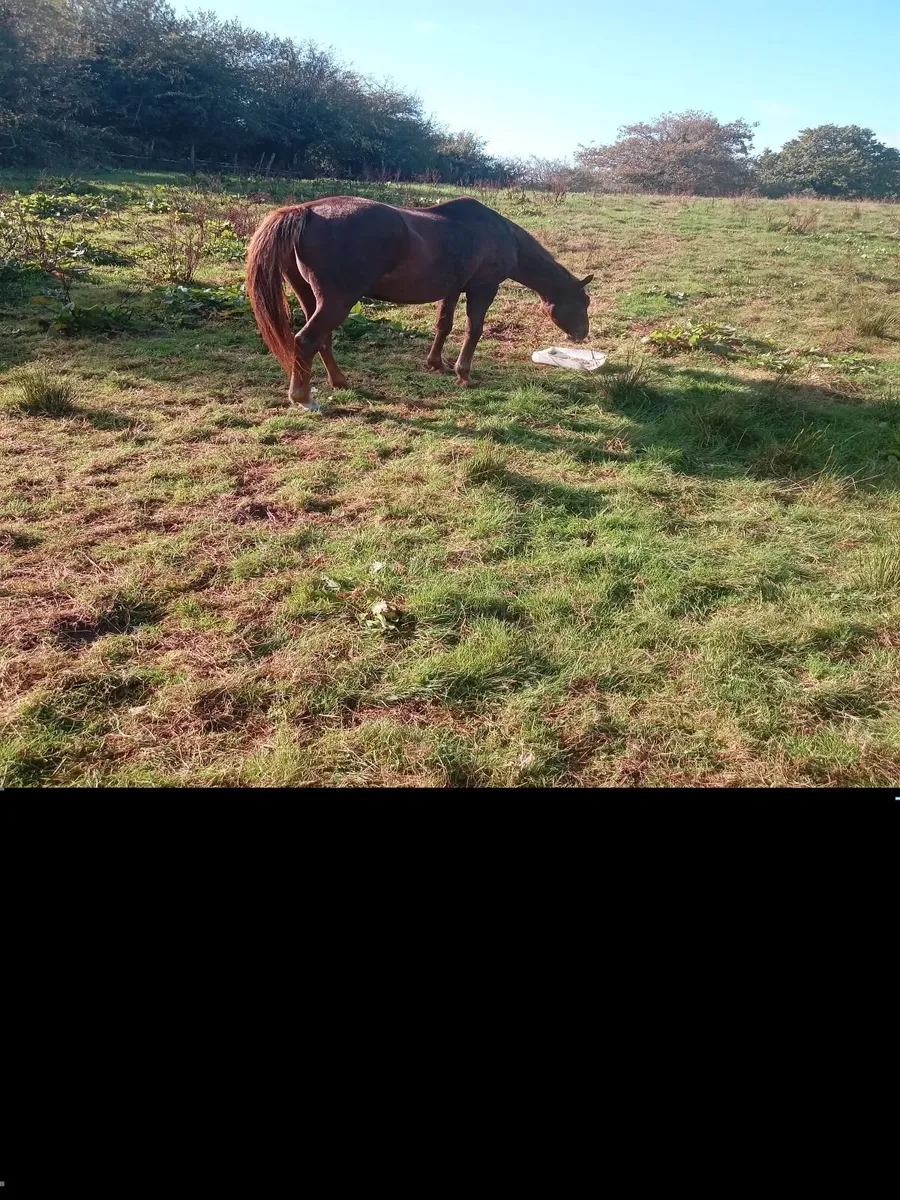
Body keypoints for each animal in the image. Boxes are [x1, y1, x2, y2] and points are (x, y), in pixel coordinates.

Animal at [246, 195, 593, 408]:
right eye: (584, 302)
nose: (582, 335)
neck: (498, 233)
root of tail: (306, 211)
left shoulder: (453, 289)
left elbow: (444, 325)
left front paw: (436, 363)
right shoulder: (483, 288)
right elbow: (474, 330)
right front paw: (463, 373)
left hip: (312, 298)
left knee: (321, 341)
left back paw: (340, 382)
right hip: (336, 302)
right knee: (307, 340)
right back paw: (303, 397)